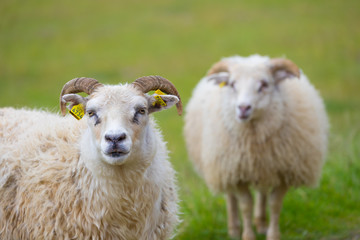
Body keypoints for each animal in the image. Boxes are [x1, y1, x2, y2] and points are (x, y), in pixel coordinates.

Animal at [186, 54, 330, 240]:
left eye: (264, 84)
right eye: (232, 84)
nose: (243, 108)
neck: (253, 136)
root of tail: (250, 58)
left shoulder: (285, 171)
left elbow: (275, 204)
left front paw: (273, 235)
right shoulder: (237, 172)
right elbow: (245, 204)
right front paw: (248, 235)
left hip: (263, 168)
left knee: (262, 193)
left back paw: (261, 224)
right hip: (223, 166)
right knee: (230, 196)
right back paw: (234, 229)